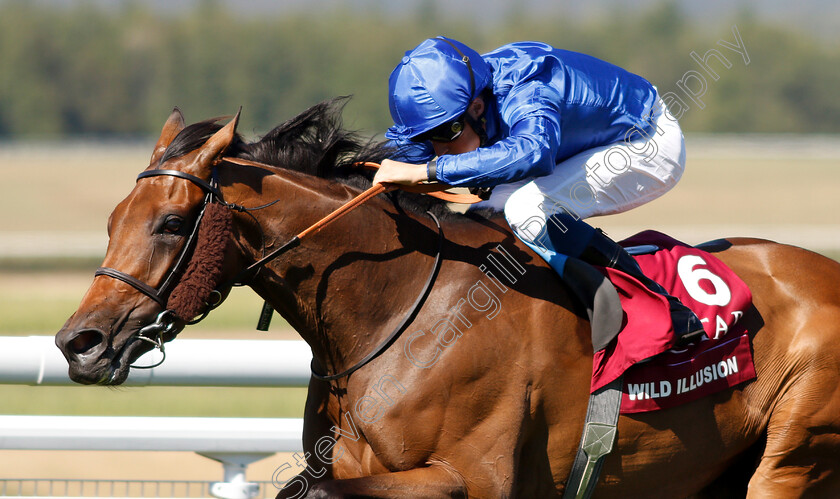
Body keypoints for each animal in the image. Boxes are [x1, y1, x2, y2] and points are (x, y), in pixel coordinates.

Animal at [54, 99, 840, 498]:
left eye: (171, 223)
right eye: (112, 222)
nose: (77, 343)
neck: (395, 312)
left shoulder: (472, 477)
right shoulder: (349, 464)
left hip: (793, 455)